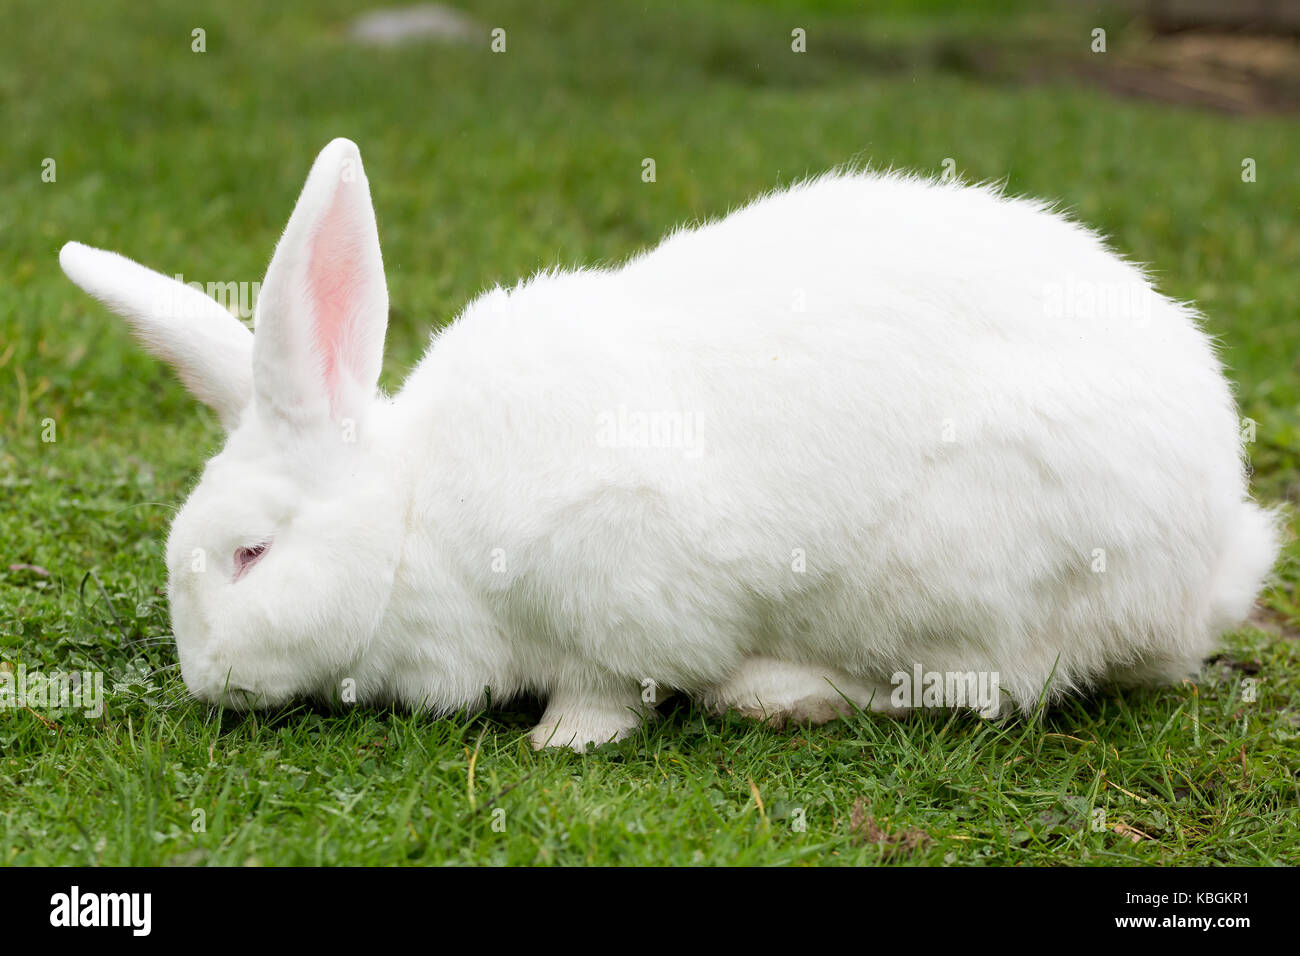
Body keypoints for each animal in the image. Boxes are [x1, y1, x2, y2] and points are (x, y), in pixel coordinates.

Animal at [61, 138, 1279, 749]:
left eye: (252, 554)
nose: (206, 680)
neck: (413, 517)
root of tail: (1206, 561)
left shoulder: (624, 574)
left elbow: (612, 684)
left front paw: (565, 739)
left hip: (977, 570)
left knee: (987, 688)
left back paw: (780, 692)